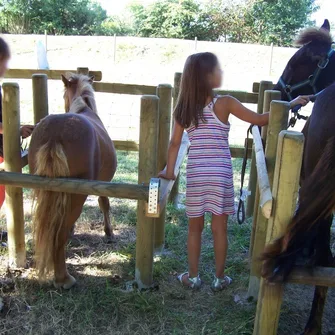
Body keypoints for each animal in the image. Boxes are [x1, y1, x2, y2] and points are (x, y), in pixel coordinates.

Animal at [28, 73, 118, 288]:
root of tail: (56, 132)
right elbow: (104, 204)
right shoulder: (103, 185)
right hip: (77, 195)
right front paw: (109, 233)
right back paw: (63, 278)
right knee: (58, 233)